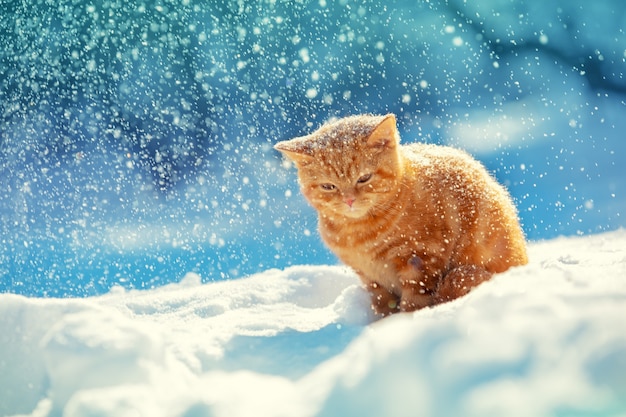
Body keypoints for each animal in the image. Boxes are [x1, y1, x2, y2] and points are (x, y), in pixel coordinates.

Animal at [272, 113, 528, 316]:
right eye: (328, 186)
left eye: (364, 178)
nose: (349, 200)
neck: (359, 233)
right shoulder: (368, 276)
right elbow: (381, 300)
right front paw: (383, 320)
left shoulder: (421, 257)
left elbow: (415, 299)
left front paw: (401, 323)